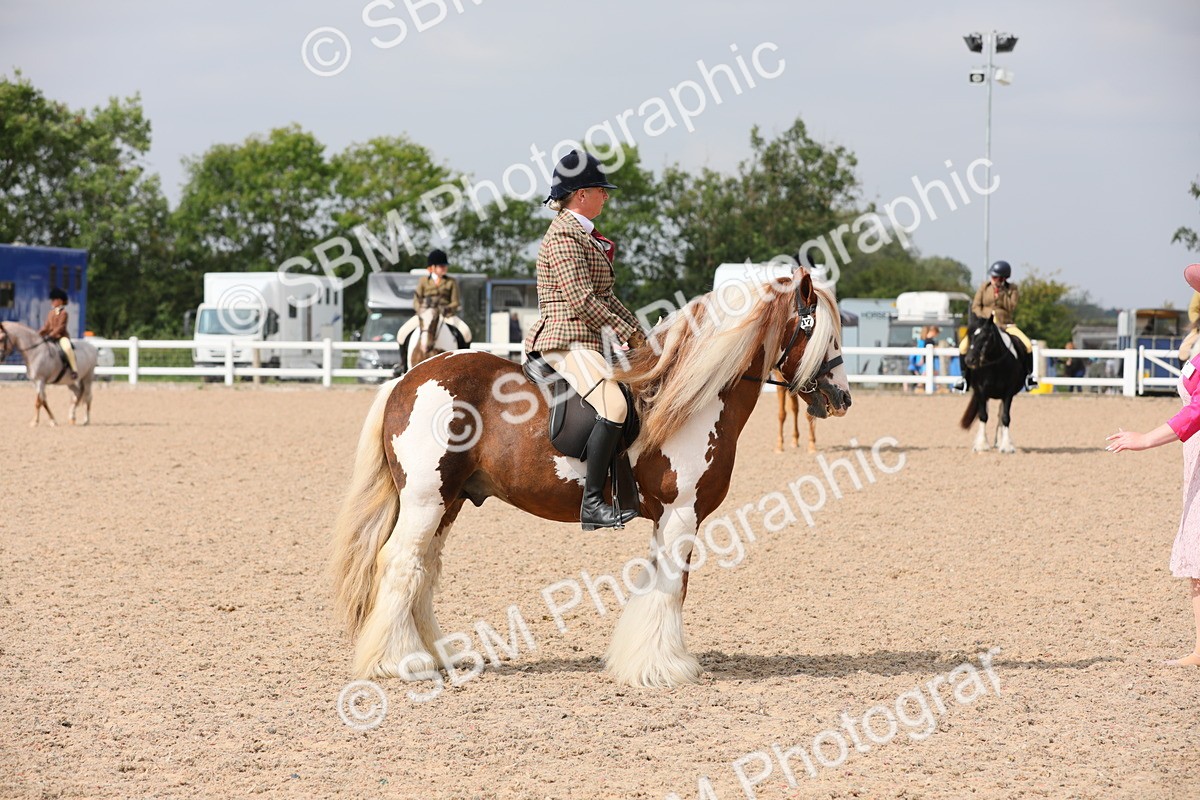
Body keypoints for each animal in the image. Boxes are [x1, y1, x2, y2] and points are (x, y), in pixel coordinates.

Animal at [331, 272, 851, 689]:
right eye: (824, 335)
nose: (842, 397)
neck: (689, 398)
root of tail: (407, 379)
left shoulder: (667, 518)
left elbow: (657, 582)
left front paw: (640, 661)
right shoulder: (682, 513)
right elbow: (672, 588)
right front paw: (664, 667)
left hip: (449, 502)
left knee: (423, 568)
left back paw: (435, 654)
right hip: (426, 500)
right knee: (401, 563)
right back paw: (401, 662)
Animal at [960, 313, 1025, 453]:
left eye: (985, 337)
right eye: (970, 336)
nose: (969, 360)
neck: (995, 365)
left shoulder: (1008, 393)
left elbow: (1005, 417)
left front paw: (1006, 446)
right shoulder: (980, 391)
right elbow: (983, 416)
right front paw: (981, 445)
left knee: (1000, 414)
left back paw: (1000, 441)